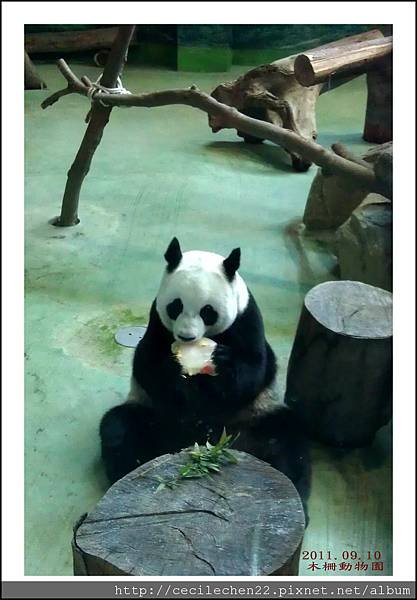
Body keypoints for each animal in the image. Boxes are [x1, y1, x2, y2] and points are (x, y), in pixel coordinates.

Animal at [100, 237, 308, 516]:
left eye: (207, 311)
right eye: (175, 306)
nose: (186, 336)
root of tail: (197, 444)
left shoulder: (246, 318)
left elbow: (254, 368)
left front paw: (222, 362)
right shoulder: (157, 322)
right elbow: (147, 363)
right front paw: (174, 370)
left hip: (253, 416)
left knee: (287, 440)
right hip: (155, 415)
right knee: (120, 427)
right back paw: (133, 472)